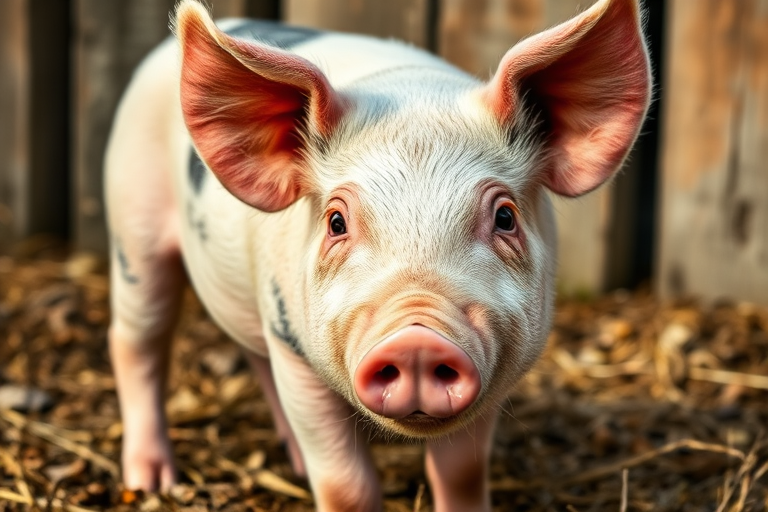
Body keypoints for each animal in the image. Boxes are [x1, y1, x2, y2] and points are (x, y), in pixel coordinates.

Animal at [104, 0, 651, 510]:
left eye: (505, 217)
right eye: (336, 222)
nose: (416, 340)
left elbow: (462, 472)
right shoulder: (295, 352)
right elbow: (346, 484)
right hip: (134, 229)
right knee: (136, 341)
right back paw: (151, 481)